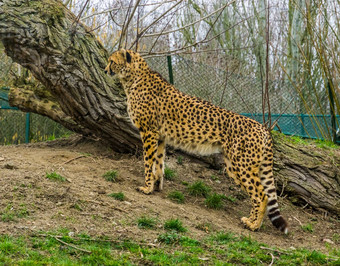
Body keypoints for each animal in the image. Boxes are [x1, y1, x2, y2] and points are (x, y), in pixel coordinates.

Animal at [105, 49, 288, 233]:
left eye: (111, 61)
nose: (105, 70)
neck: (133, 77)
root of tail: (262, 127)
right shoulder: (160, 136)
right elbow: (159, 162)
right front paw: (156, 185)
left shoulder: (149, 132)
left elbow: (148, 162)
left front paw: (146, 187)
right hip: (236, 165)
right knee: (260, 194)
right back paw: (250, 220)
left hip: (242, 165)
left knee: (261, 195)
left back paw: (254, 225)